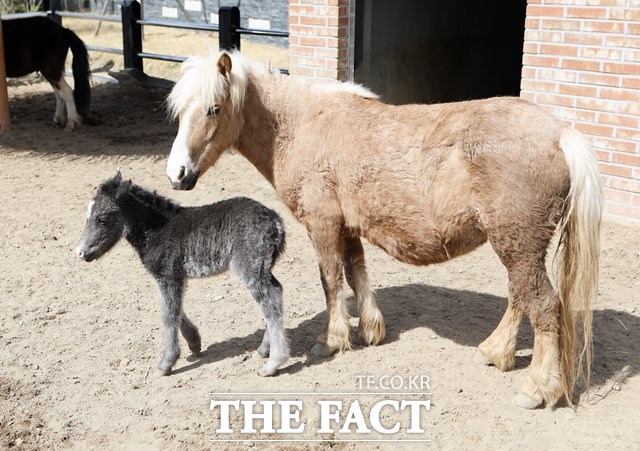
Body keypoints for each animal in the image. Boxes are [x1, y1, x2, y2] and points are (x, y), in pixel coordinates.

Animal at [164, 50, 600, 410]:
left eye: (214, 108)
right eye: (180, 112)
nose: (177, 174)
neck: (301, 126)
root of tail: (560, 134)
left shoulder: (323, 224)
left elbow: (331, 280)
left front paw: (331, 340)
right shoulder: (349, 227)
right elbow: (357, 273)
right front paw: (370, 330)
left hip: (518, 245)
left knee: (544, 306)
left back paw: (537, 388)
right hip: (516, 246)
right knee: (519, 296)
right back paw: (495, 352)